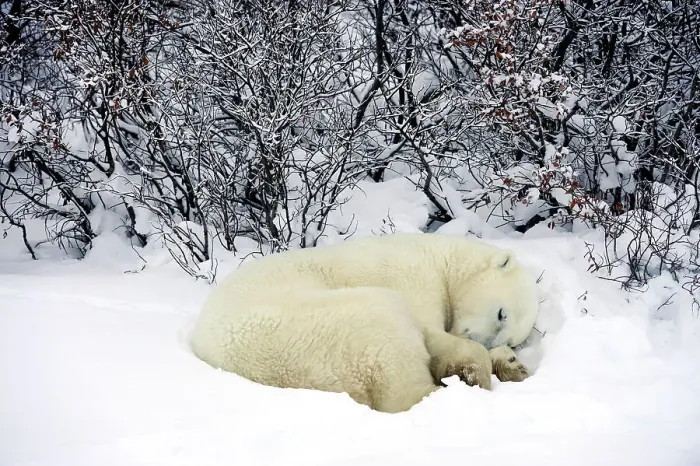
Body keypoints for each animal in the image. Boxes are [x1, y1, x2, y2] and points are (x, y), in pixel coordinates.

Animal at [190, 233, 539, 413]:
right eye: (501, 313)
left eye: (514, 337)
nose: (490, 344)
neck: (439, 257)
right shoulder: (410, 275)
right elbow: (430, 330)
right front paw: (477, 367)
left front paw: (510, 362)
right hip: (327, 327)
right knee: (398, 373)